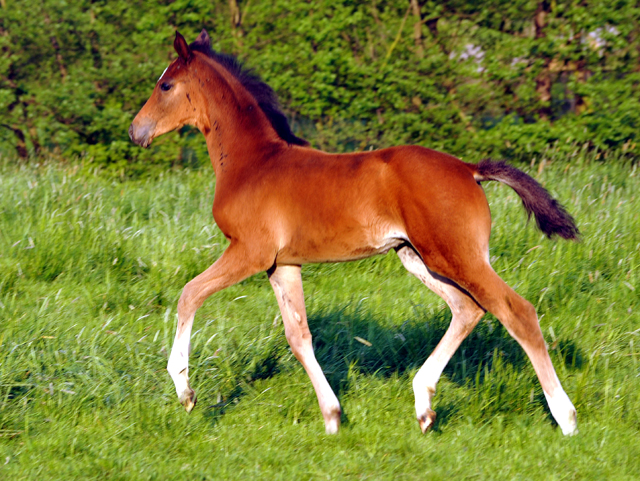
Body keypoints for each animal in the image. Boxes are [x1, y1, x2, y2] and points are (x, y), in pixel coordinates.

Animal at [129, 30, 580, 436]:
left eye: (165, 84)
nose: (136, 131)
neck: (254, 162)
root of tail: (469, 169)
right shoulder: (282, 264)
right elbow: (299, 336)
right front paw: (332, 417)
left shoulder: (250, 252)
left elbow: (190, 293)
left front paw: (185, 391)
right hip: (417, 256)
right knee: (468, 308)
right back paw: (423, 406)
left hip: (455, 255)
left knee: (516, 311)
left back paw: (565, 417)